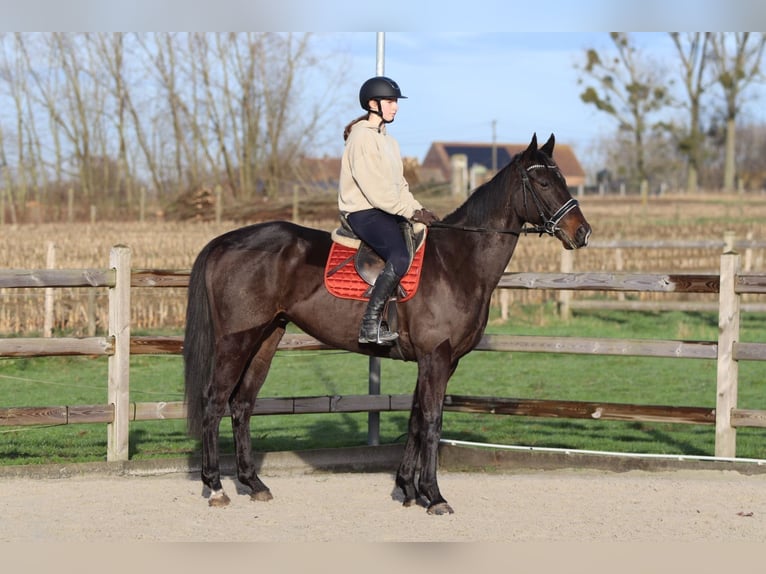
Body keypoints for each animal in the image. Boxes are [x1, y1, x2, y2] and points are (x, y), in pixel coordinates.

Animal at [183, 133, 591, 515]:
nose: (582, 232)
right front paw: (434, 495)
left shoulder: (441, 362)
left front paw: (407, 489)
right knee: (214, 402)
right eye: (542, 183)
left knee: (241, 405)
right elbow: (431, 421)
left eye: (562, 179)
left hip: (267, 338)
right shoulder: (436, 357)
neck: (457, 262)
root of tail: (224, 242)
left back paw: (254, 483)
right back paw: (216, 487)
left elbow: (415, 419)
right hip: (236, 341)